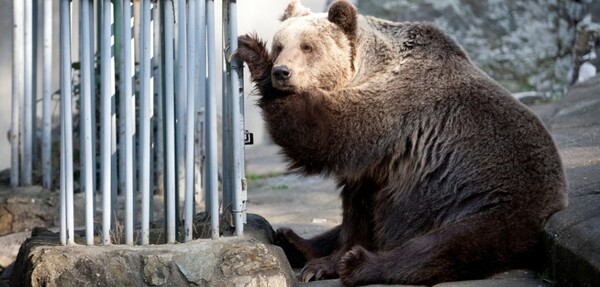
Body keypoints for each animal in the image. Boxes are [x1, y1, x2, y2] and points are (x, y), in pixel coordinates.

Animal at [233, 1, 568, 286]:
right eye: (280, 45)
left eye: (308, 47)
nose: (281, 71)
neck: (366, 69)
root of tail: (557, 198)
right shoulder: (377, 164)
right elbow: (356, 207)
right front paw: (324, 261)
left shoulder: (394, 109)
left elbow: (322, 134)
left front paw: (253, 52)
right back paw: (293, 240)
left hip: (484, 201)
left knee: (441, 245)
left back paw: (360, 264)